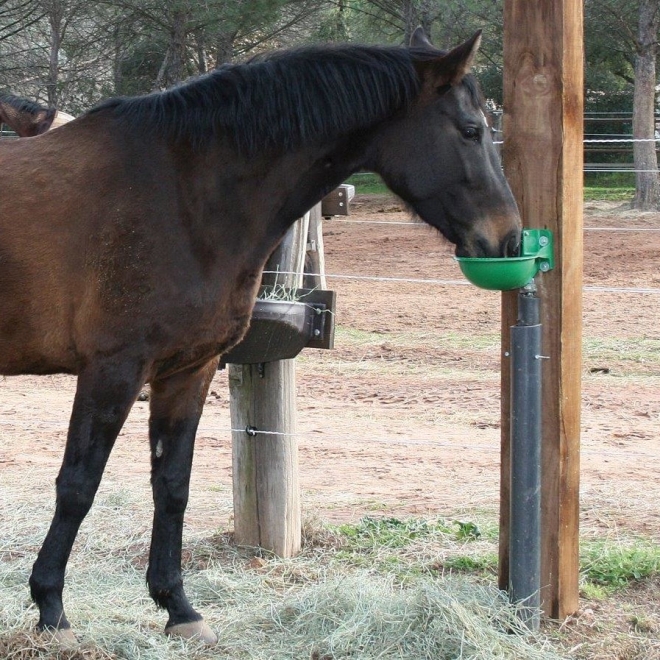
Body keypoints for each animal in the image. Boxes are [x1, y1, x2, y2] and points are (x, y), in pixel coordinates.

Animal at [0, 28, 520, 645]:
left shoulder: (187, 371)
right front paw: (51, 609)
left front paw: (178, 607)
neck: (181, 192)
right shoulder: (113, 370)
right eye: (470, 130)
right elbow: (78, 484)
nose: (510, 239)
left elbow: (172, 485)